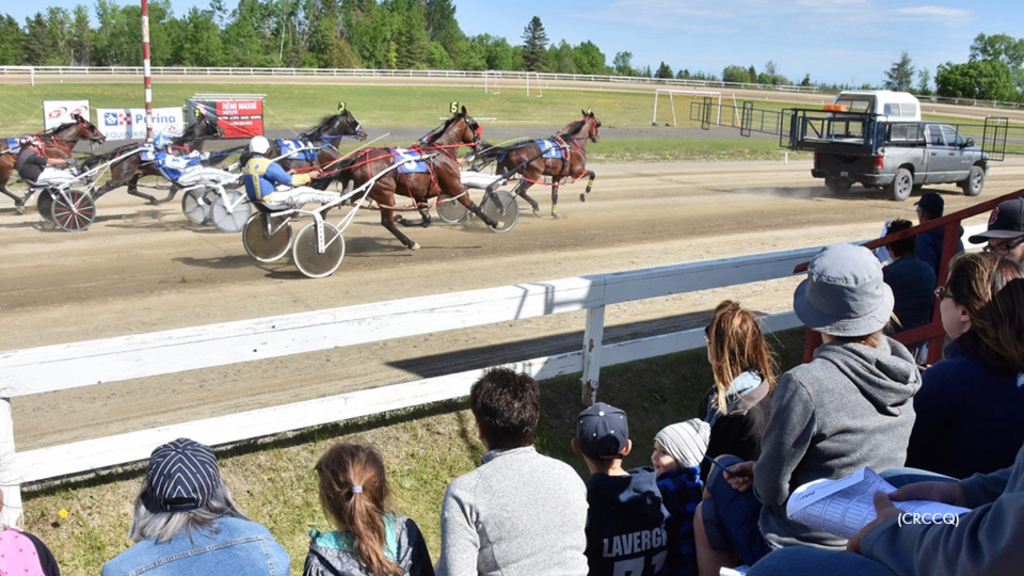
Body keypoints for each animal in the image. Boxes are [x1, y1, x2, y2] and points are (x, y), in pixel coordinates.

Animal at [319, 106, 499, 250]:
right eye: (474, 124)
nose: (481, 144)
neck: (440, 152)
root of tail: (357, 158)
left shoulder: (420, 194)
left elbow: (426, 220)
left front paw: (403, 219)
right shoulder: (454, 186)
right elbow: (472, 206)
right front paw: (495, 222)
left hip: (359, 190)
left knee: (327, 207)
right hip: (384, 192)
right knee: (387, 222)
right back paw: (410, 243)